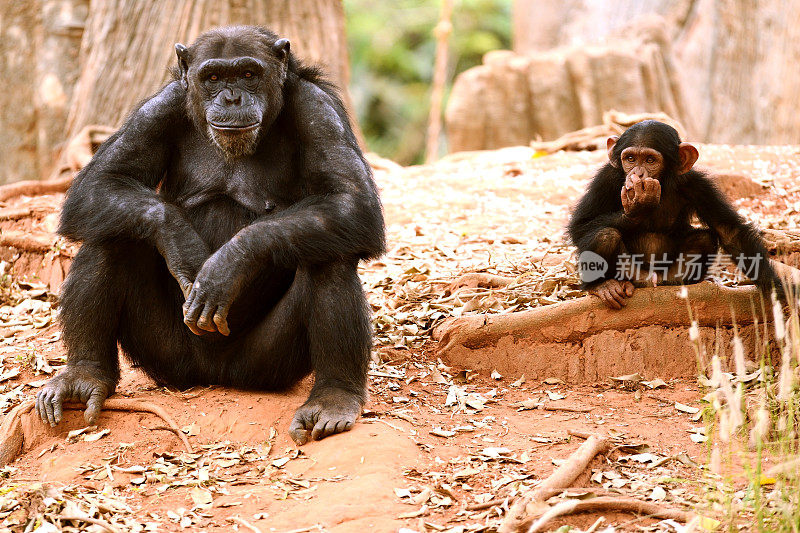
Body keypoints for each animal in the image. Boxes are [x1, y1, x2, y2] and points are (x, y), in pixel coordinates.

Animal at [36, 26, 386, 444]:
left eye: (249, 74)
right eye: (213, 77)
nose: (231, 97)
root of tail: (214, 376)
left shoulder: (320, 112)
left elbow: (351, 202)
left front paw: (226, 267)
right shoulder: (157, 110)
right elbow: (99, 183)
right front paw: (181, 243)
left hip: (263, 364)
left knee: (330, 254)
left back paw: (334, 398)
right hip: (169, 358)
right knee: (110, 238)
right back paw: (84, 376)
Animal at [568, 119, 780, 308]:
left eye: (650, 160)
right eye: (630, 159)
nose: (637, 173)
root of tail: (652, 280)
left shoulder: (697, 184)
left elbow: (729, 231)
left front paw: (778, 291)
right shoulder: (606, 177)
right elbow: (580, 225)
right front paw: (638, 208)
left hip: (667, 276)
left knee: (704, 238)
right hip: (632, 274)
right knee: (604, 235)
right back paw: (603, 285)